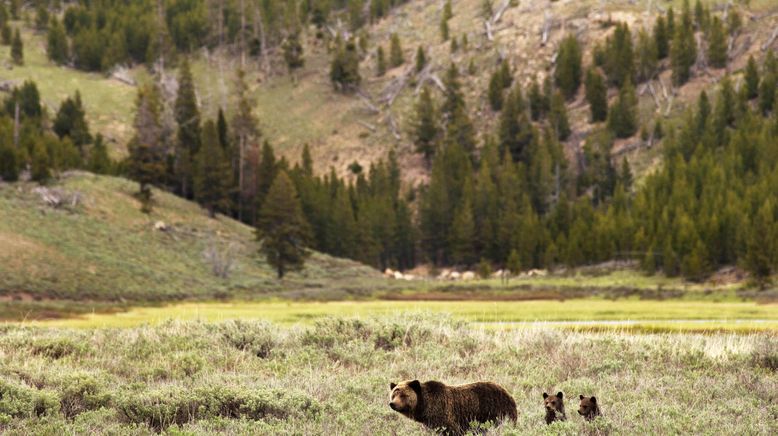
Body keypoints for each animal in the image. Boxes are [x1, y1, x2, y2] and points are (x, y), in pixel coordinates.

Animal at [386, 378, 516, 436]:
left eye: (403, 395)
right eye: (393, 394)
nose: (392, 404)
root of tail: (509, 394)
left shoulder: (444, 414)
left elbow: (451, 430)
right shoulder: (430, 423)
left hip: (494, 411)